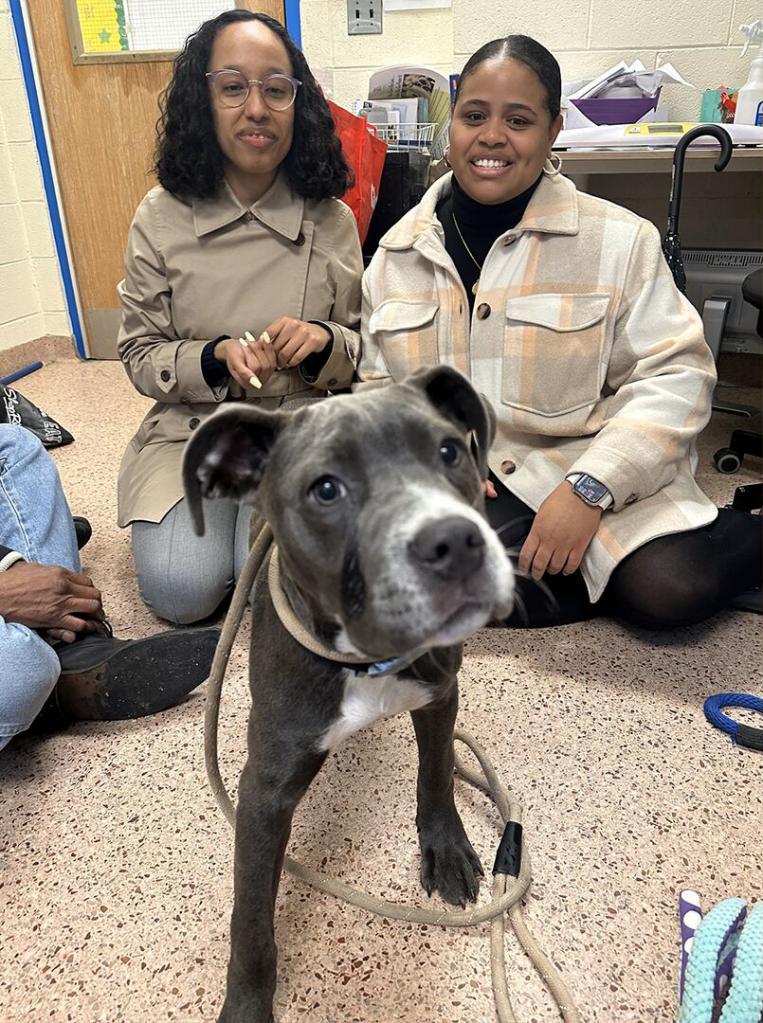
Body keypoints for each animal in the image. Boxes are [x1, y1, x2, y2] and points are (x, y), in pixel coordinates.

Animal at [183, 368, 511, 1023]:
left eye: (449, 451)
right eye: (326, 489)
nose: (455, 541)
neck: (365, 659)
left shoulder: (440, 696)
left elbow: (436, 774)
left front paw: (446, 849)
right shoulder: (265, 792)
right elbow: (250, 922)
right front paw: (248, 1004)